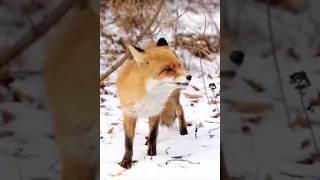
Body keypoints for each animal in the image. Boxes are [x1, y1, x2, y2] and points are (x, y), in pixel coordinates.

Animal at [117, 38, 192, 169]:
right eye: (168, 69)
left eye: (179, 66)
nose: (189, 76)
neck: (147, 94)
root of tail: (153, 43)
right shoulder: (129, 114)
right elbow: (128, 142)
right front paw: (126, 161)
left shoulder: (156, 112)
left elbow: (153, 134)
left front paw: (151, 154)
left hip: (173, 97)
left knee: (180, 110)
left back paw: (183, 130)